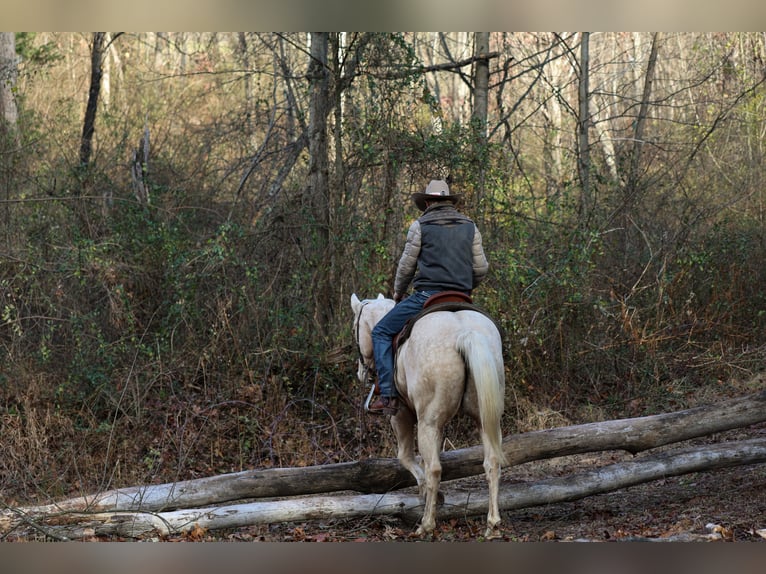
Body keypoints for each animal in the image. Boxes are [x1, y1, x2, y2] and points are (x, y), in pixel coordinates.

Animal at [350, 293, 507, 538]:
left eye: (354, 328)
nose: (361, 372)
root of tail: (464, 333)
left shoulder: (401, 415)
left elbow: (407, 457)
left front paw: (429, 496)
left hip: (428, 422)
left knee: (434, 468)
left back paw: (426, 525)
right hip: (485, 421)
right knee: (492, 463)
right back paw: (492, 525)